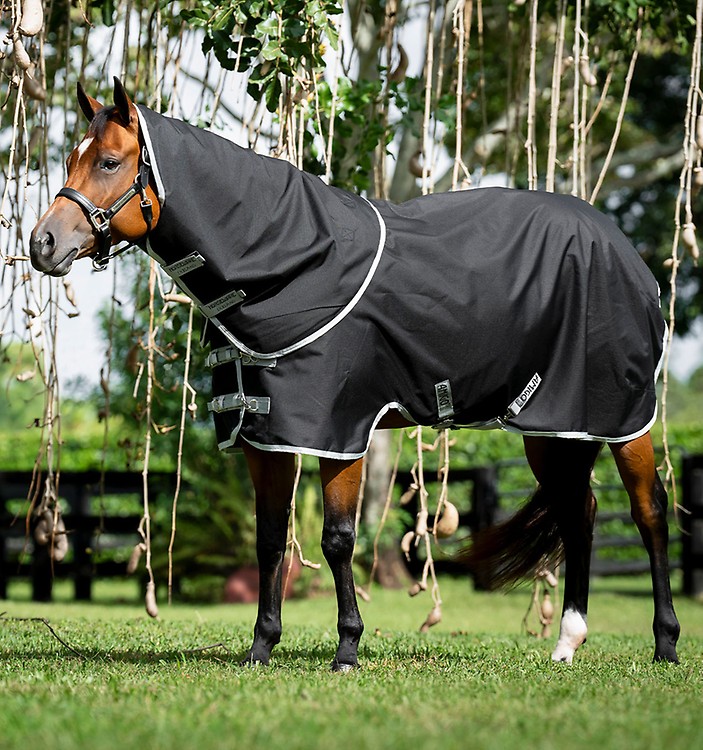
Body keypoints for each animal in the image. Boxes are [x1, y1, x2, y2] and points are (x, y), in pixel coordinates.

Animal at [29, 78, 680, 669]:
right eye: (71, 159)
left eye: (109, 161)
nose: (43, 243)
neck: (291, 262)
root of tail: (620, 246)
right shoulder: (267, 437)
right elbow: (271, 540)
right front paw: (262, 647)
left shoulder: (339, 433)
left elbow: (338, 539)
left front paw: (347, 648)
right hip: (555, 426)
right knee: (579, 513)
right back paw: (567, 642)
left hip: (623, 418)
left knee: (648, 512)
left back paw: (666, 643)